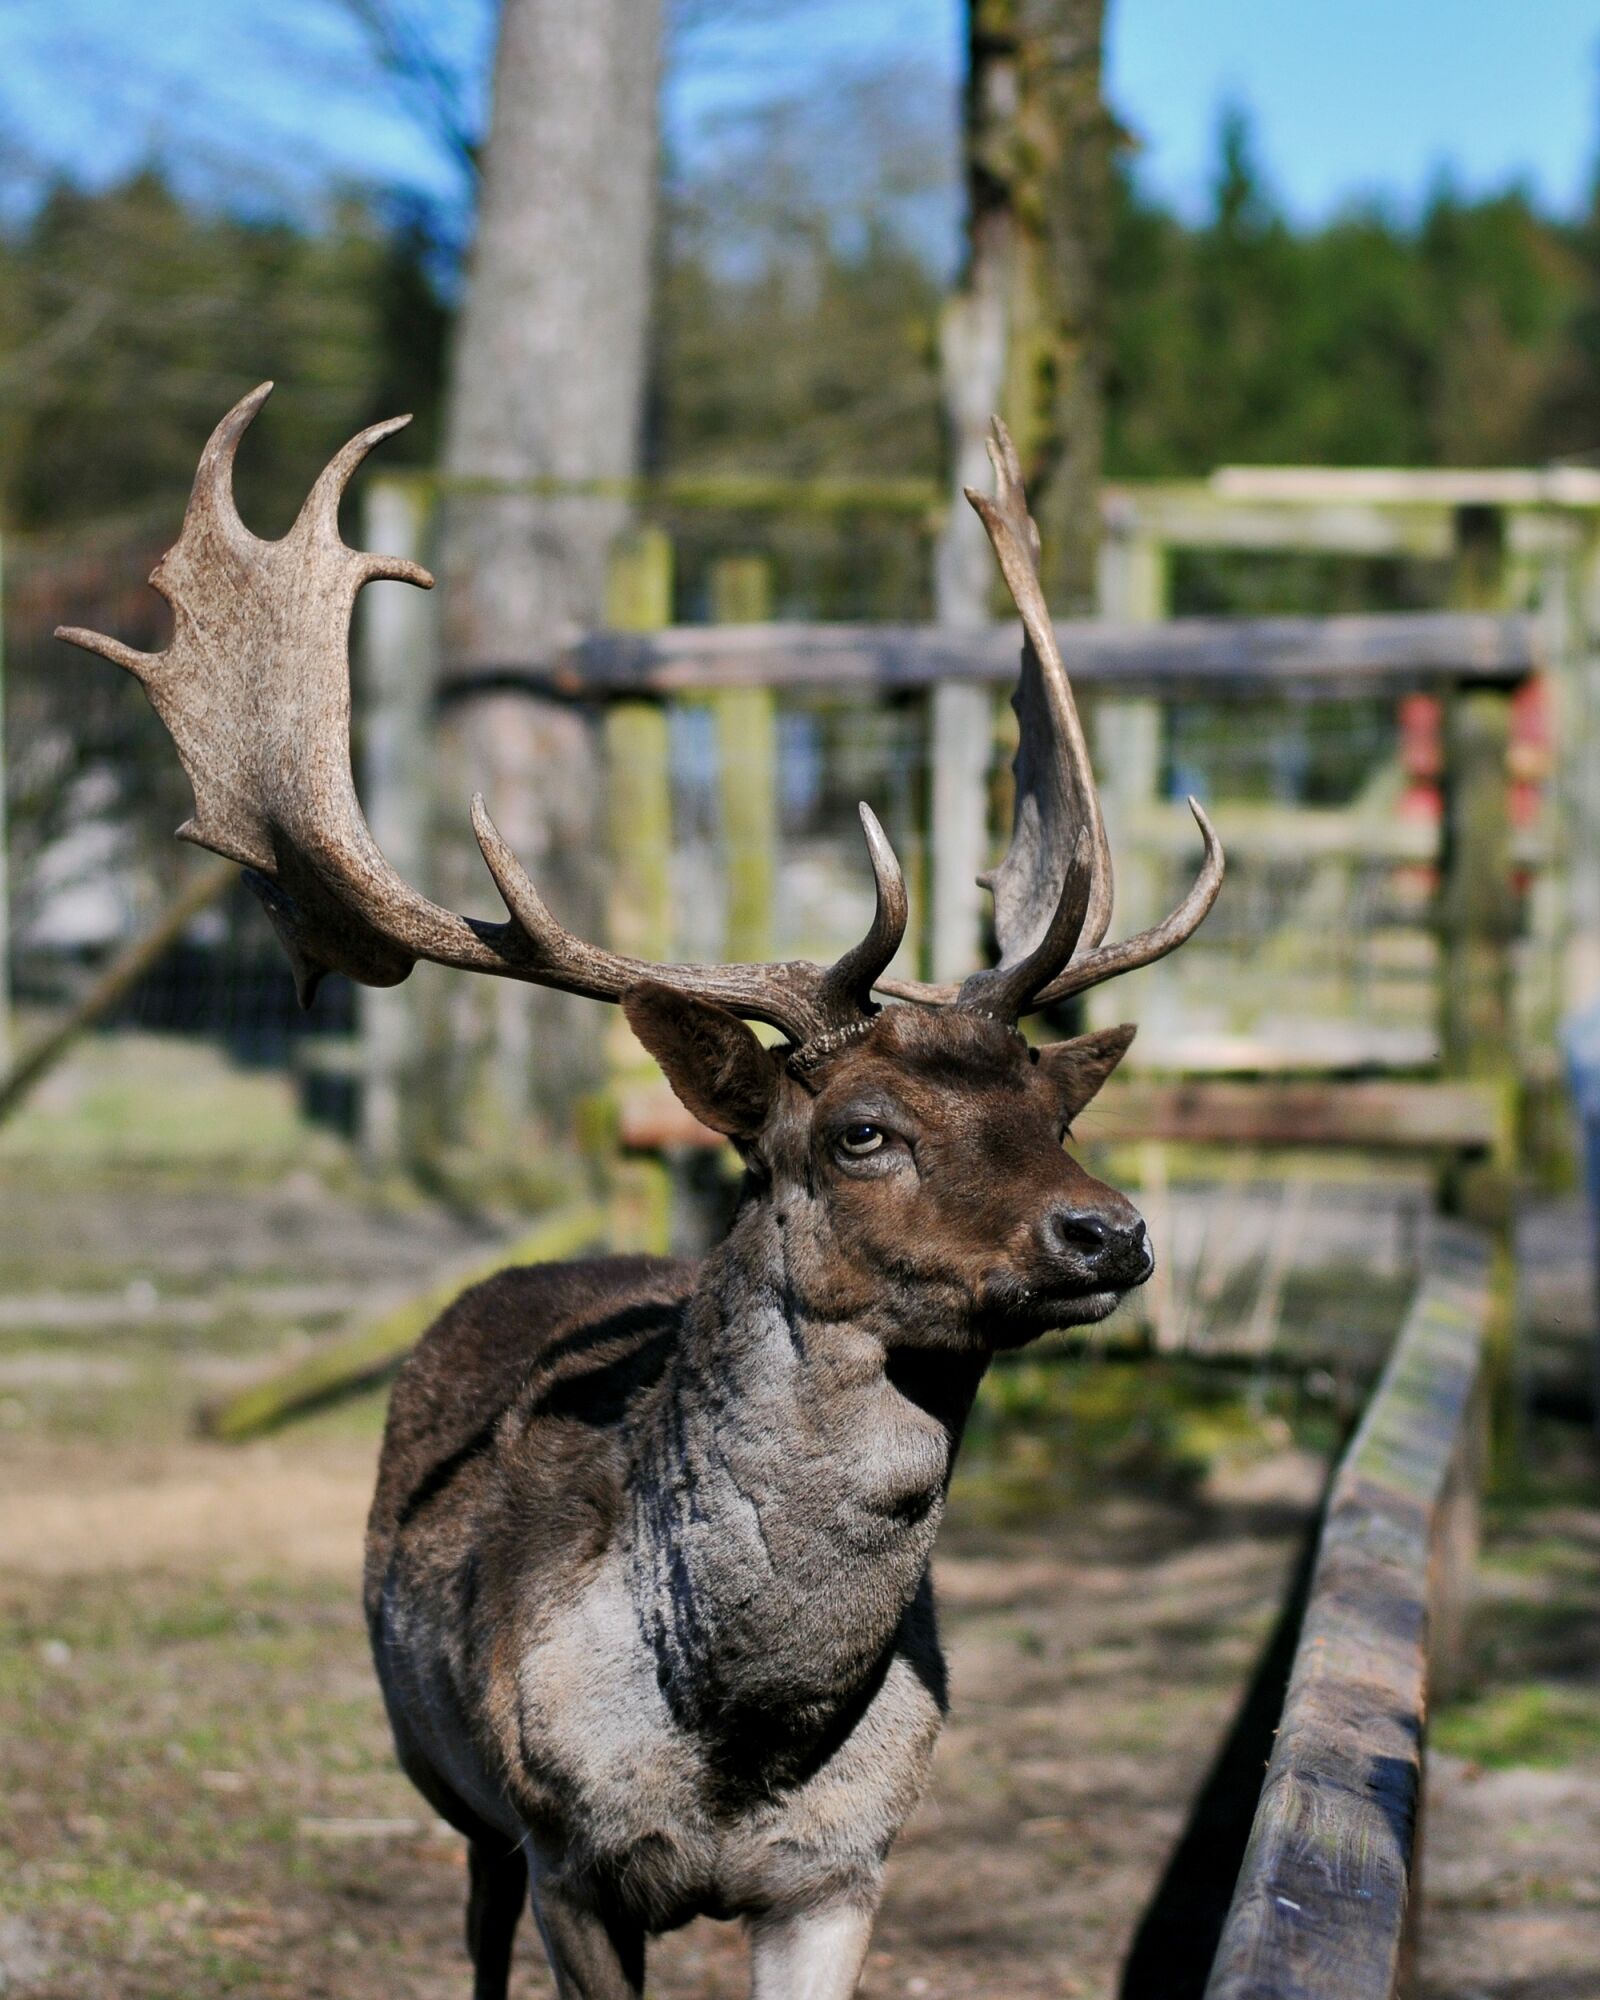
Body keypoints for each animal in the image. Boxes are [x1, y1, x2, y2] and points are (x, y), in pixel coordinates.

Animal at [60, 386, 1222, 2000]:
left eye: (1057, 1104)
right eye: (860, 1131)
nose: (1107, 1229)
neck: (745, 1732)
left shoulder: (844, 1870)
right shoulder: (569, 1853)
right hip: (449, 1793)